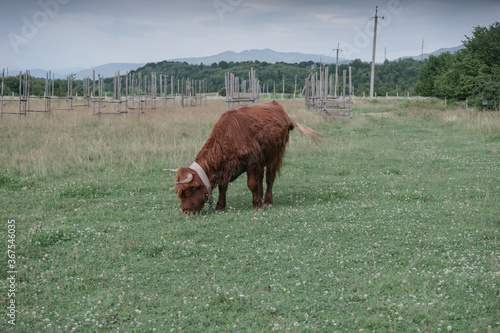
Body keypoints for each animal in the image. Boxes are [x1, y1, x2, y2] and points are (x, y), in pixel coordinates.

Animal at [164, 100, 320, 213]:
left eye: (191, 189)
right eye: (179, 193)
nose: (186, 211)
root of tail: (278, 107)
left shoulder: (252, 162)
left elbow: (252, 184)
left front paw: (257, 206)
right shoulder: (227, 169)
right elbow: (223, 186)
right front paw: (220, 207)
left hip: (275, 156)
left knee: (269, 178)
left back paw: (267, 201)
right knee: (261, 179)